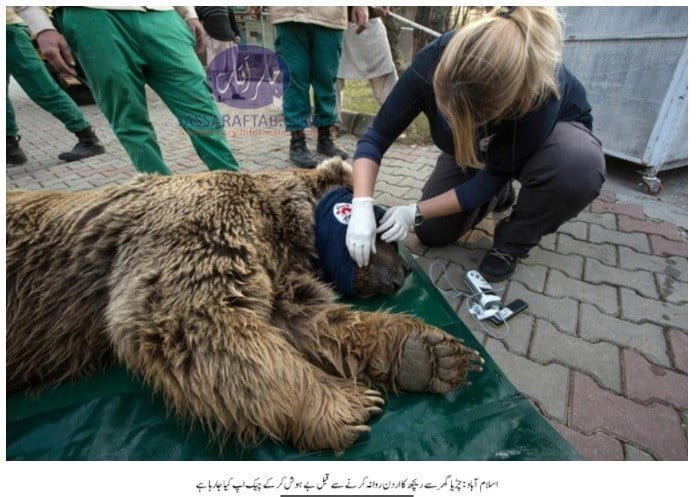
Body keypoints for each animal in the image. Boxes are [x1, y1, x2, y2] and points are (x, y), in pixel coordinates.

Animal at [6, 158, 483, 453]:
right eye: (385, 233)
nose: (404, 271)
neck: (283, 224)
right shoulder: (204, 230)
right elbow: (193, 319)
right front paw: (347, 404)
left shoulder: (279, 273)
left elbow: (317, 320)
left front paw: (430, 354)